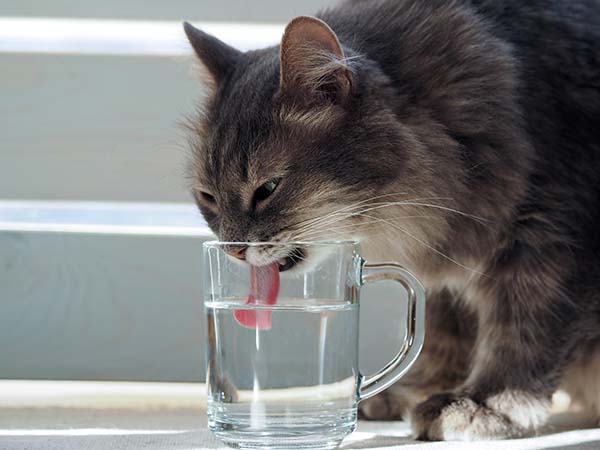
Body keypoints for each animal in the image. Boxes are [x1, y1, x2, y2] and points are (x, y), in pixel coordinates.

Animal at [183, 0, 600, 442]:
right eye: (207, 197)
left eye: (267, 189)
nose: (233, 250)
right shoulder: (447, 277)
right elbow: (441, 337)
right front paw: (417, 390)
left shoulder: (549, 243)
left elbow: (520, 336)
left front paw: (485, 404)